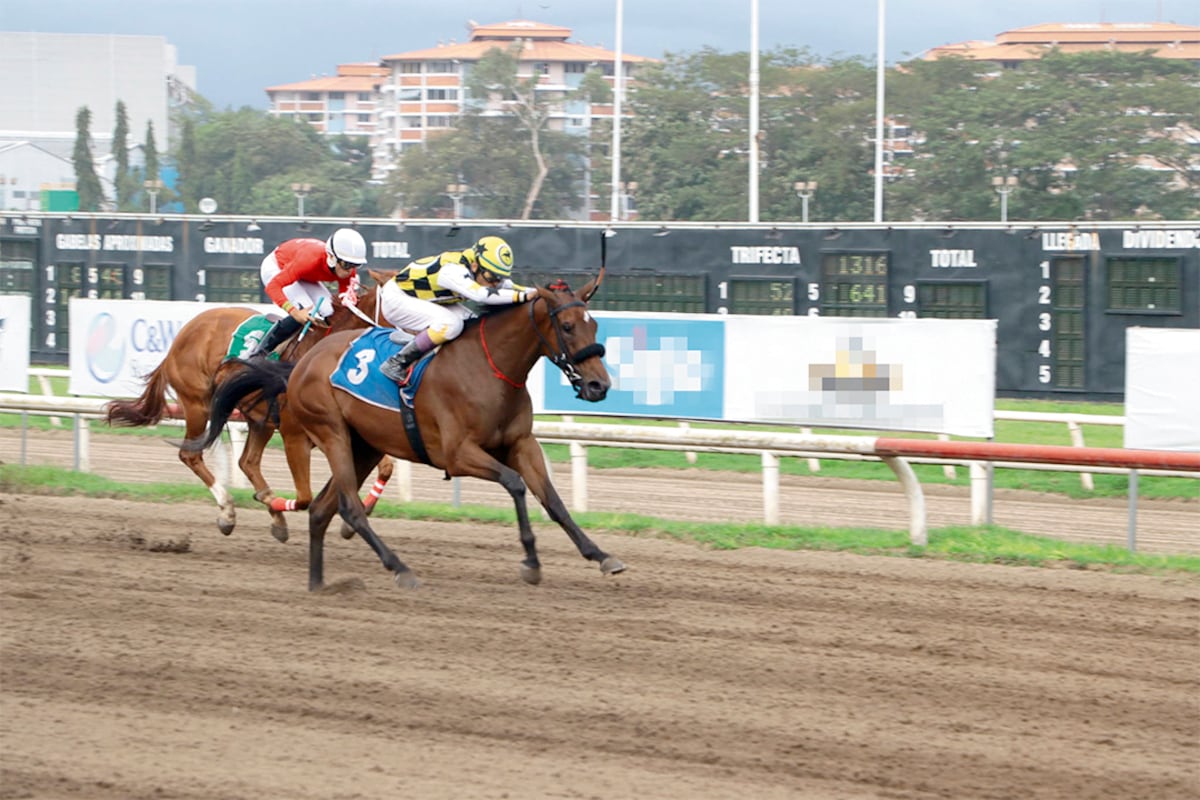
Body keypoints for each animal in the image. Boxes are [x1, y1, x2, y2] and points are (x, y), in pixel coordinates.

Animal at [103, 283, 393, 544]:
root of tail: (182, 335)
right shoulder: (304, 430)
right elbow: (313, 491)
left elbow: (385, 467)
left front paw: (354, 519)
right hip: (198, 404)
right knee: (191, 455)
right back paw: (228, 512)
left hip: (258, 418)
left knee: (247, 462)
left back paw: (273, 516)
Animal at [187, 278, 624, 592]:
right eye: (566, 326)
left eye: (595, 325)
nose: (599, 386)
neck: (490, 368)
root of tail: (300, 363)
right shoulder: (457, 454)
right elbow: (516, 485)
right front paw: (531, 562)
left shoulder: (521, 444)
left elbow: (553, 500)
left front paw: (601, 554)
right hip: (332, 434)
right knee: (347, 507)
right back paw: (399, 568)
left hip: (363, 445)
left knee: (321, 509)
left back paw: (319, 583)